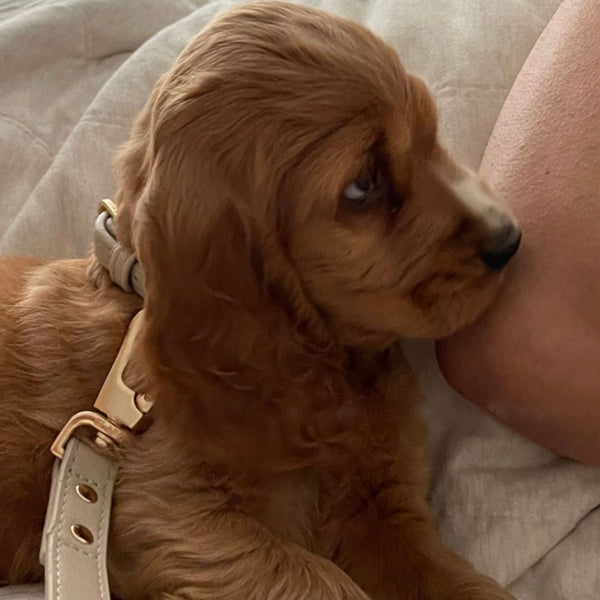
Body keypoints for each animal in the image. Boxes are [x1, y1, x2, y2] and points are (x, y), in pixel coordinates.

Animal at [0, 2, 520, 596]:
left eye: (431, 136)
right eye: (362, 186)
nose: (510, 240)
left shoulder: (384, 503)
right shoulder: (166, 507)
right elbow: (318, 578)